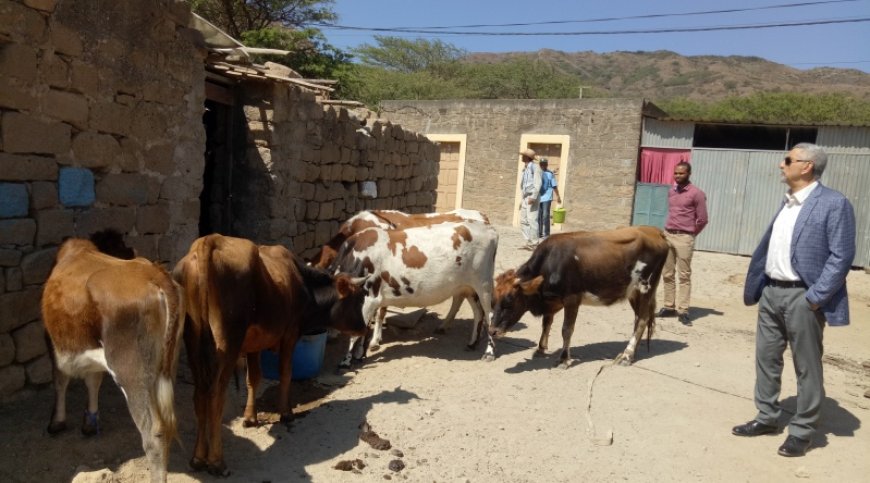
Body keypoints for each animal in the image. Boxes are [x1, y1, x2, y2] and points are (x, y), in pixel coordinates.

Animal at [42, 232, 186, 483]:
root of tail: (156, 275)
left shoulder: (54, 344)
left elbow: (60, 379)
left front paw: (57, 422)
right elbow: (93, 381)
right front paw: (90, 423)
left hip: (131, 372)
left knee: (154, 432)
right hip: (167, 367)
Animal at [174, 234, 368, 476]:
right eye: (358, 299)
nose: (365, 328)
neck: (303, 286)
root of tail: (209, 241)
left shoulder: (254, 343)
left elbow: (254, 379)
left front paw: (250, 416)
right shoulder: (290, 334)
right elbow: (286, 373)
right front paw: (286, 412)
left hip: (193, 343)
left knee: (200, 395)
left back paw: (198, 458)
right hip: (227, 344)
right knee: (216, 396)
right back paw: (217, 462)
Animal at [330, 219, 500, 366]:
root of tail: (488, 228)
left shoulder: (369, 298)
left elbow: (355, 333)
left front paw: (346, 361)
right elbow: (364, 329)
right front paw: (359, 355)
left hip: (483, 285)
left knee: (490, 316)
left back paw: (489, 353)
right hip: (468, 287)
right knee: (478, 313)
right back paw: (472, 343)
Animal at [494, 227, 672, 366]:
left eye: (509, 302)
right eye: (494, 300)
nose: (492, 331)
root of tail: (654, 231)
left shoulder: (572, 299)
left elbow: (566, 329)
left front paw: (563, 359)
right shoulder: (552, 301)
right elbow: (546, 323)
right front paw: (540, 349)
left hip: (646, 288)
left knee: (642, 319)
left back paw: (627, 355)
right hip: (633, 292)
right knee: (639, 319)